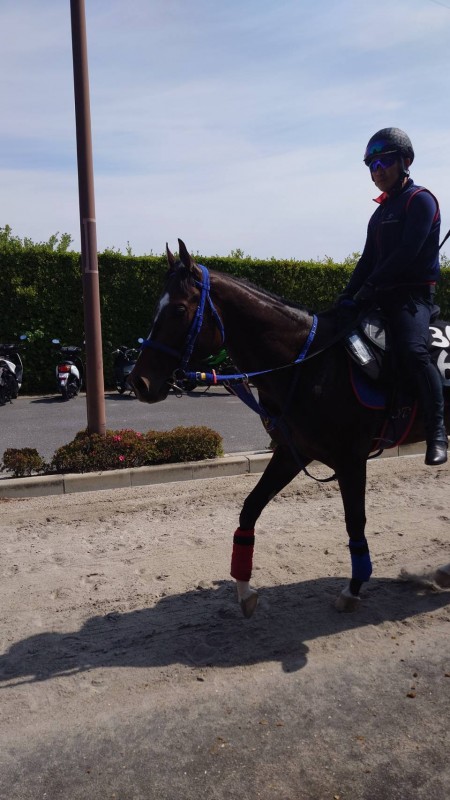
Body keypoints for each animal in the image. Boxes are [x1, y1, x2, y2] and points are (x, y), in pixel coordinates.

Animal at [129, 239, 450, 617]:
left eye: (179, 309)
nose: (138, 381)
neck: (309, 362)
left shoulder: (351, 461)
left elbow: (355, 521)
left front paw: (354, 587)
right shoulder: (291, 452)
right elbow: (250, 508)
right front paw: (244, 589)